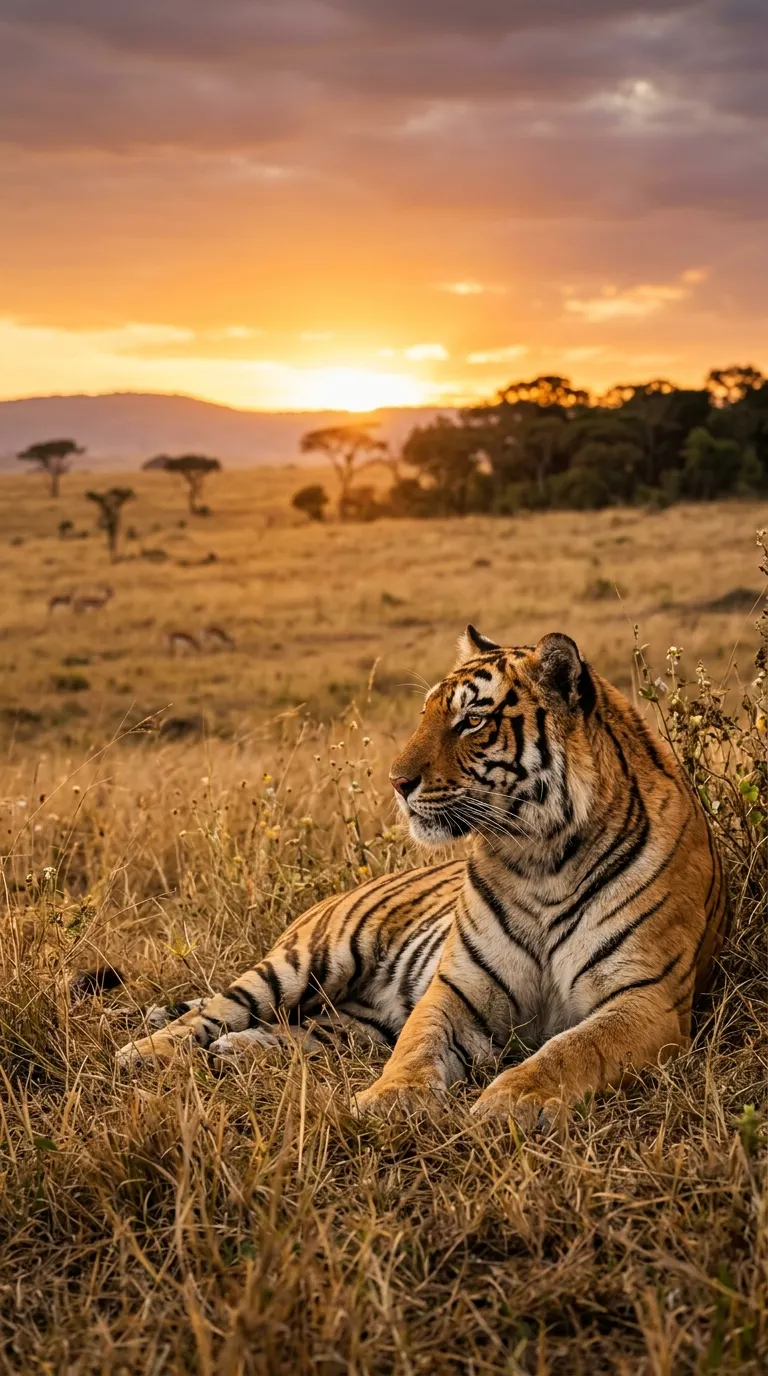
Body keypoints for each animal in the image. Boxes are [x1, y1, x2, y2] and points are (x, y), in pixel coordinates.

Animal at [116, 627, 728, 1129]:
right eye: (425, 714)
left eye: (472, 720)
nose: (395, 781)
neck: (542, 858)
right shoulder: (456, 989)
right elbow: (417, 1046)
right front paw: (387, 1100)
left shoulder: (646, 1000)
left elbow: (571, 1050)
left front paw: (511, 1102)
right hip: (305, 962)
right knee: (214, 1010)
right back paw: (143, 1052)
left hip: (351, 1024)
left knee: (291, 1029)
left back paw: (237, 1050)